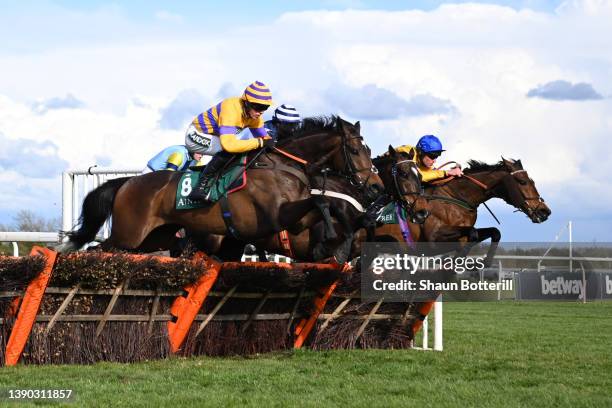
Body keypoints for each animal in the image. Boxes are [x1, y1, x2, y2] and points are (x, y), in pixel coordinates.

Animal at [57, 116, 382, 253]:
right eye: (356, 151)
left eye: (369, 150)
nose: (376, 187)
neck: (284, 166)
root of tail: (128, 183)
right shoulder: (276, 217)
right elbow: (320, 200)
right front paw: (334, 234)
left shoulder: (294, 220)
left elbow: (323, 202)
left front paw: (350, 227)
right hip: (129, 234)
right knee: (96, 250)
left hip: (153, 238)